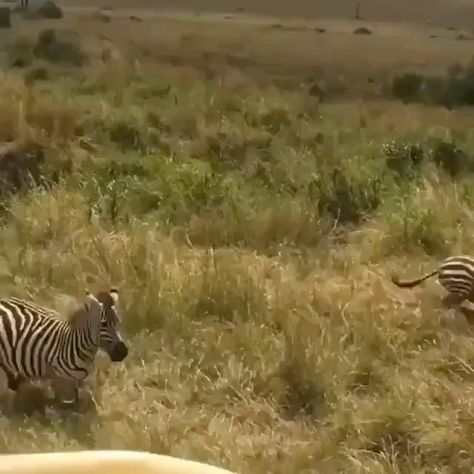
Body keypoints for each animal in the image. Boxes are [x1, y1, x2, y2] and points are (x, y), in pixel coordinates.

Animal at [0, 288, 128, 404]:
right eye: (103, 324)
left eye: (118, 322)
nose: (123, 352)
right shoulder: (60, 383)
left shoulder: (78, 382)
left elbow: (78, 403)